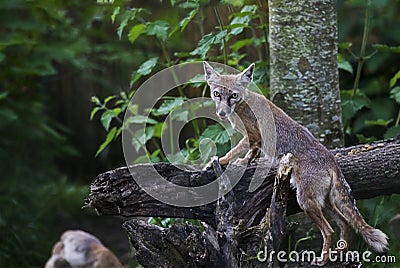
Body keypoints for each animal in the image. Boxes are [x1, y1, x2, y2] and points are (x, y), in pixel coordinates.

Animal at [203, 61, 388, 266]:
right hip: (325, 203)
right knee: (345, 224)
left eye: (233, 95)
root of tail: (331, 160)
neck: (243, 104)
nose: (221, 113)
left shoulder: (253, 136)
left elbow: (234, 151)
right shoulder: (255, 141)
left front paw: (221, 161)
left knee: (329, 230)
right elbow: (251, 154)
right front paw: (244, 162)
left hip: (306, 201)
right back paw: (340, 254)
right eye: (217, 94)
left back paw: (323, 259)